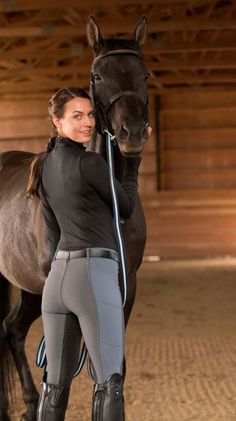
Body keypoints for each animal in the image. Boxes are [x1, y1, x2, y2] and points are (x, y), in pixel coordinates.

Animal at [0, 17, 148, 420]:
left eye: (144, 73)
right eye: (97, 75)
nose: (132, 132)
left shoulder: (125, 289)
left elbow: (110, 369)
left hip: (32, 290)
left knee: (11, 330)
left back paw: (29, 404)